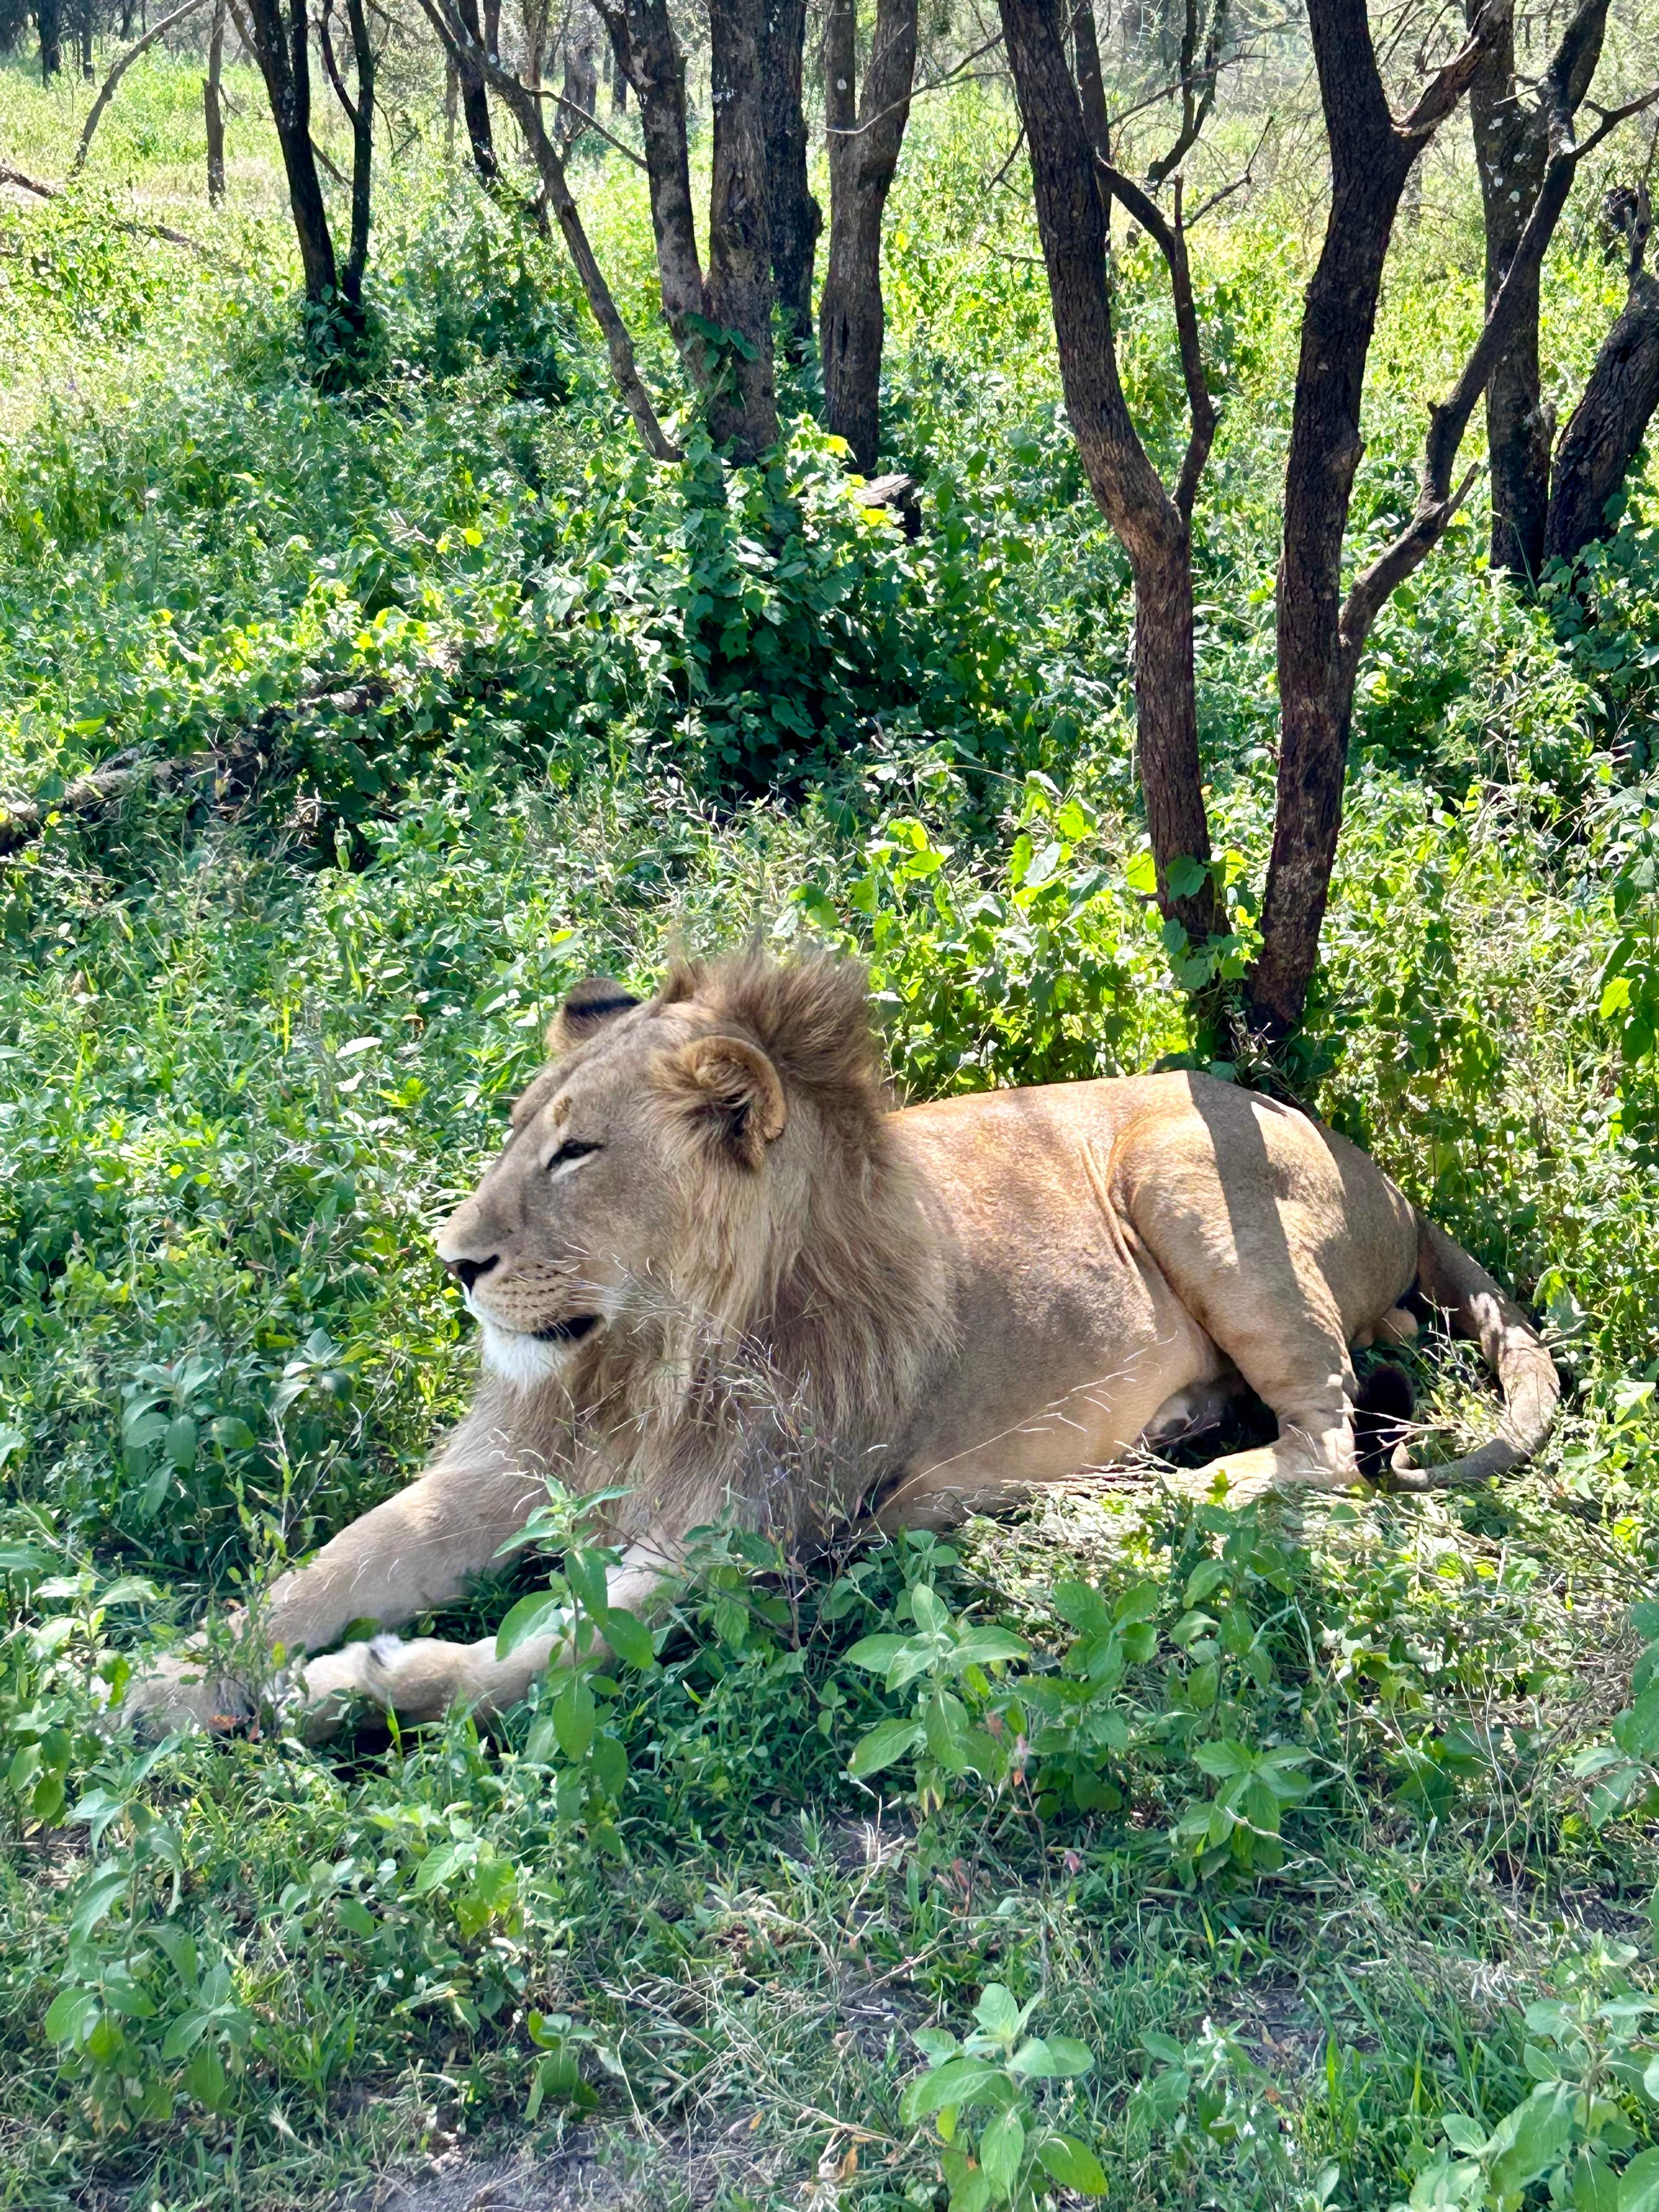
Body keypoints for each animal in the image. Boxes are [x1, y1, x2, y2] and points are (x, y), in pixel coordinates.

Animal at [125, 947, 1559, 1740]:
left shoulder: (734, 1540)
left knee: (1326, 1445)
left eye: (579, 1151)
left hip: (1186, 1172)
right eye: (520, 1128)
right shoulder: (499, 1469)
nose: (452, 1262)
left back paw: (1122, 1498)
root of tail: (1389, 1179)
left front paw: (351, 1687)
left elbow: (536, 1657)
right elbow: (329, 1568)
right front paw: (163, 1679)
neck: (638, 1362)